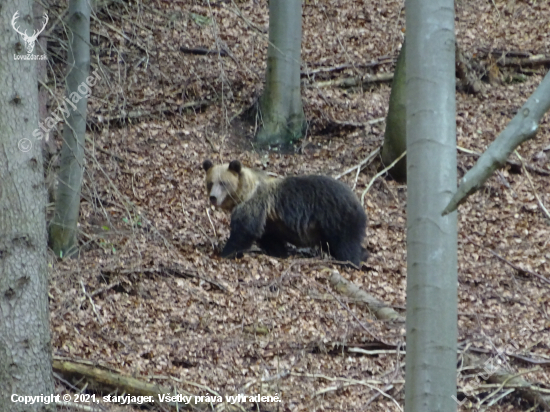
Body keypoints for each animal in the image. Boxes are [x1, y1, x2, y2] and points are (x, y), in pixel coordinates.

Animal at [204, 159, 370, 266]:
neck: (244, 193)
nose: (213, 197)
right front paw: (280, 252)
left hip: (337, 217)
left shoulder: (254, 205)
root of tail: (358, 201)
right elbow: (270, 238)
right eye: (210, 182)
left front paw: (225, 252)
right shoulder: (268, 220)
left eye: (223, 183)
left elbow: (243, 231)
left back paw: (351, 261)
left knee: (346, 244)